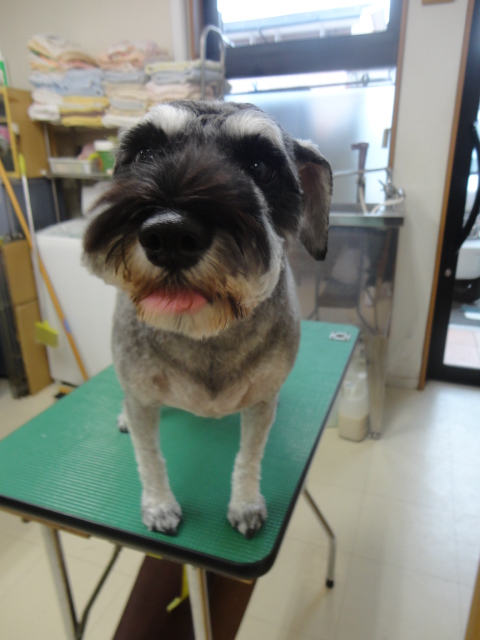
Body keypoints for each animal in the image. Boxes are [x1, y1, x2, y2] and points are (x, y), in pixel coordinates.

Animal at [82, 100, 332, 538]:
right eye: (145, 153)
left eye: (260, 167)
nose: (169, 235)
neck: (206, 336)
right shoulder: (143, 399)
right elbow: (149, 457)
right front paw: (159, 505)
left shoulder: (259, 406)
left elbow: (249, 457)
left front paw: (245, 504)